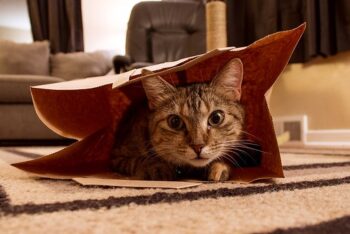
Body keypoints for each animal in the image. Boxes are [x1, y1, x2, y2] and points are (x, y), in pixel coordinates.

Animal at [110, 58, 245, 181]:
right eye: (175, 122)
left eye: (216, 118)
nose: (197, 147)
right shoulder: (118, 157)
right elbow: (141, 161)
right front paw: (158, 167)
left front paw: (219, 166)